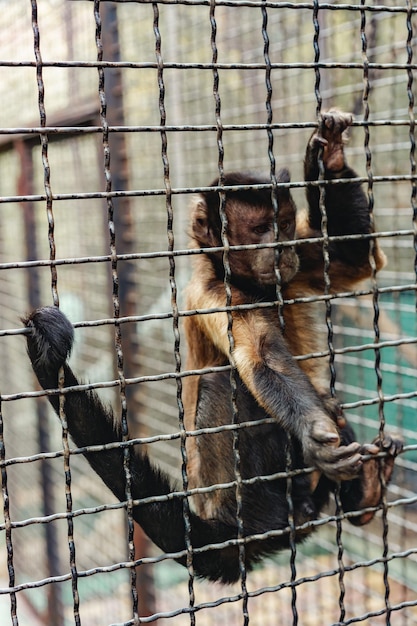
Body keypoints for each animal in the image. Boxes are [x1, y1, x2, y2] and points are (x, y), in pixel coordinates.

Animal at [24, 109, 402, 584]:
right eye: (258, 230)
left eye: (282, 226)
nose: (279, 250)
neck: (246, 282)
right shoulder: (214, 293)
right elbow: (261, 356)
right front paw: (315, 434)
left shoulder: (299, 255)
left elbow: (357, 260)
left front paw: (328, 157)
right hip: (240, 496)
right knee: (223, 382)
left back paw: (363, 496)